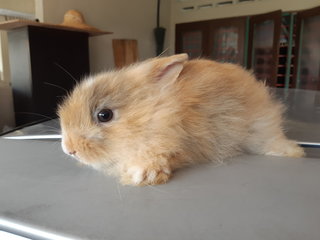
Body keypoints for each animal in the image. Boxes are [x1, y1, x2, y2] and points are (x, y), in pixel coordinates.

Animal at [58, 54, 304, 186]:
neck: (158, 113)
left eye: (104, 115)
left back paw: (295, 152)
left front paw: (143, 174)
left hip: (259, 126)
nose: (69, 149)